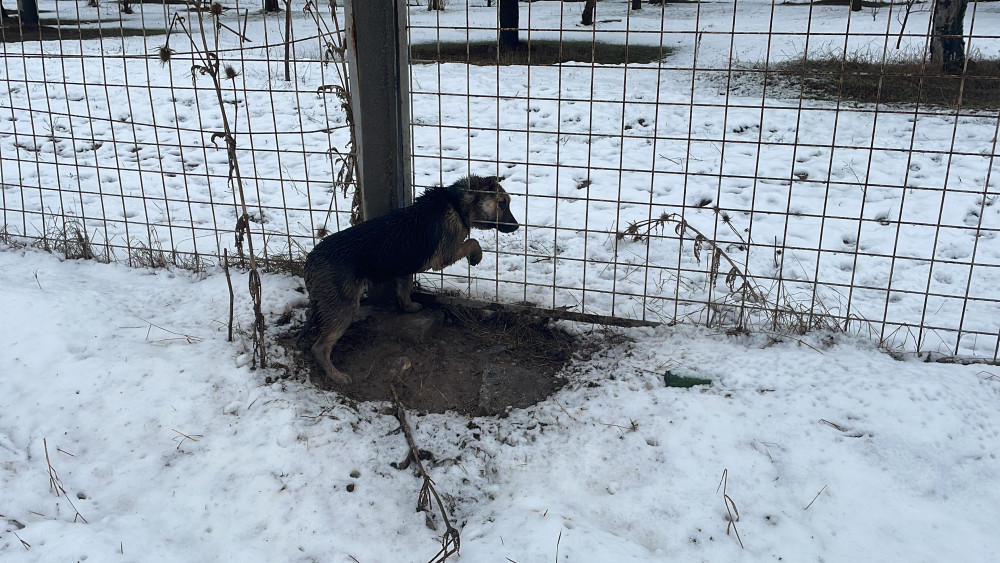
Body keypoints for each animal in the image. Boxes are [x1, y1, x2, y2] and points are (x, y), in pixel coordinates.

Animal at [300, 176, 520, 386]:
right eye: (502, 203)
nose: (517, 226)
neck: (457, 203)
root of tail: (310, 262)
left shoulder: (406, 263)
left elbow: (403, 286)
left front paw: (408, 306)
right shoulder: (444, 255)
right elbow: (472, 242)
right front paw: (476, 256)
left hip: (330, 303)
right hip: (343, 307)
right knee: (320, 347)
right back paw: (336, 375)